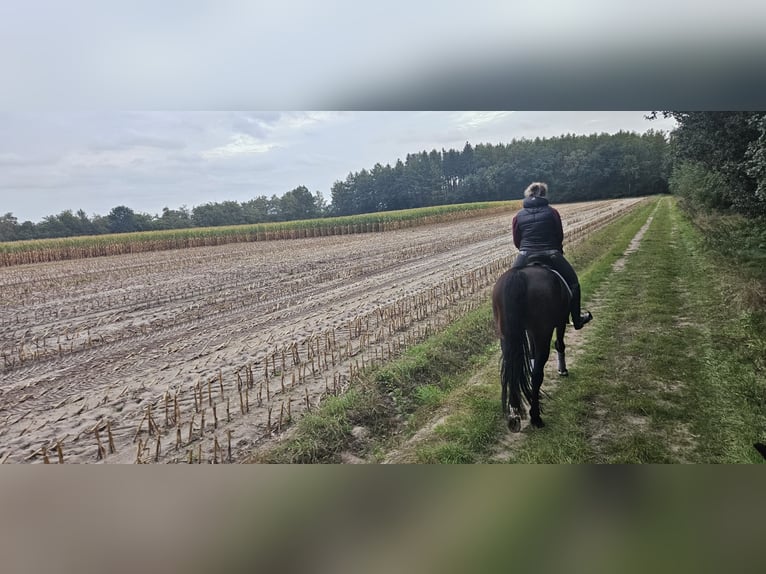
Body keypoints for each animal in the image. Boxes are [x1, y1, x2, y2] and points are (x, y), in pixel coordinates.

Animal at [496, 264, 572, 432]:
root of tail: (518, 275)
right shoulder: (560, 322)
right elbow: (559, 344)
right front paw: (562, 370)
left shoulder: (530, 332)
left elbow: (531, 356)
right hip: (543, 332)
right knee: (537, 373)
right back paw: (535, 416)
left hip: (506, 336)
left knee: (510, 372)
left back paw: (514, 415)